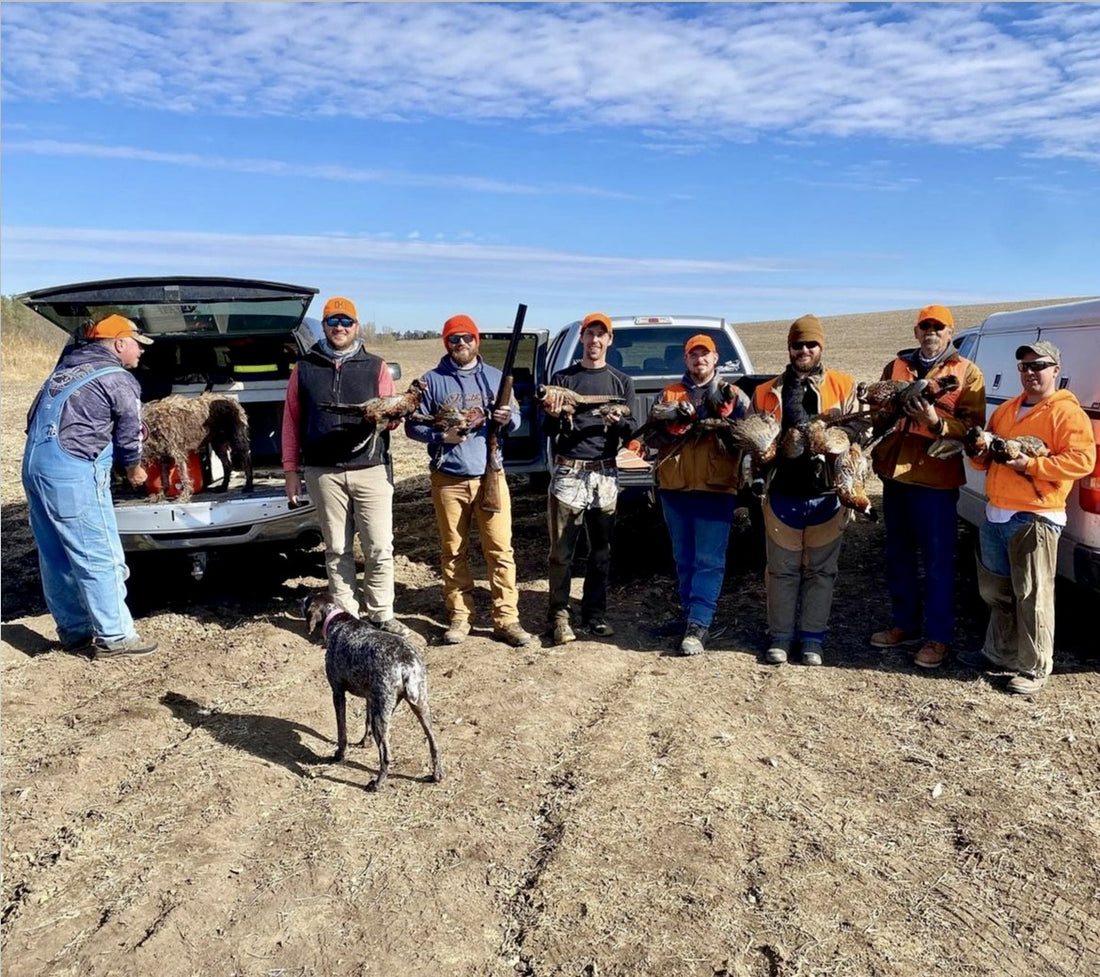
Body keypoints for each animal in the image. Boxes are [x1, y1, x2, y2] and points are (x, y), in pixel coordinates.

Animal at [303, 589, 444, 792]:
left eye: (307, 600)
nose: (301, 598)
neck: (338, 620)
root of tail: (406, 663)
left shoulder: (337, 693)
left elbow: (342, 732)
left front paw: (339, 755)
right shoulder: (370, 697)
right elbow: (366, 722)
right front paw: (365, 742)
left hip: (383, 716)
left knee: (386, 755)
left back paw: (377, 784)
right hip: (420, 705)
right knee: (434, 743)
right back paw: (436, 775)